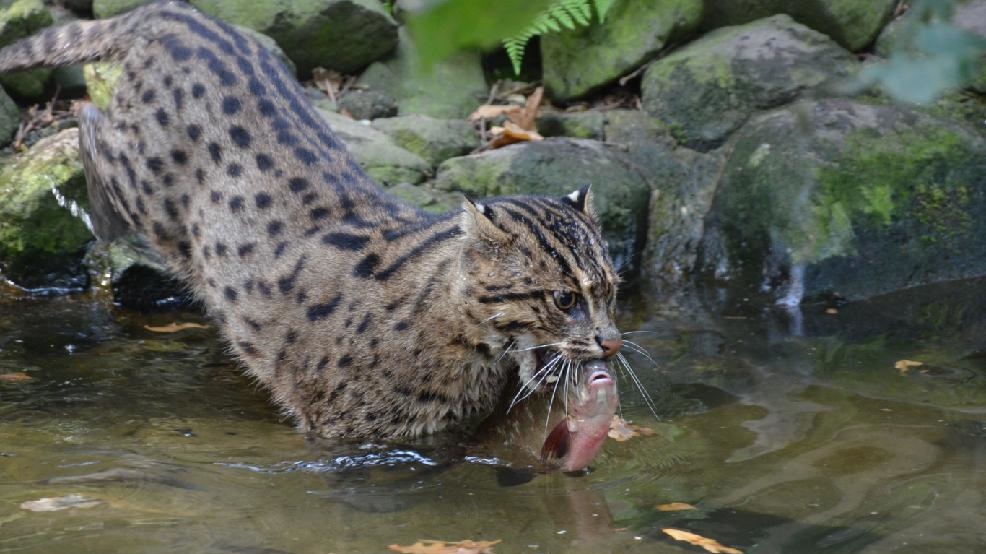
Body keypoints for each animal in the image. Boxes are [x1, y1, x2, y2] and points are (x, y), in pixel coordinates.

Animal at [0, 1, 624, 466]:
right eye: (563, 298)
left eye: (612, 290)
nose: (614, 343)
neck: (463, 338)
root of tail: (180, 13)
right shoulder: (346, 433)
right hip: (150, 192)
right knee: (88, 117)